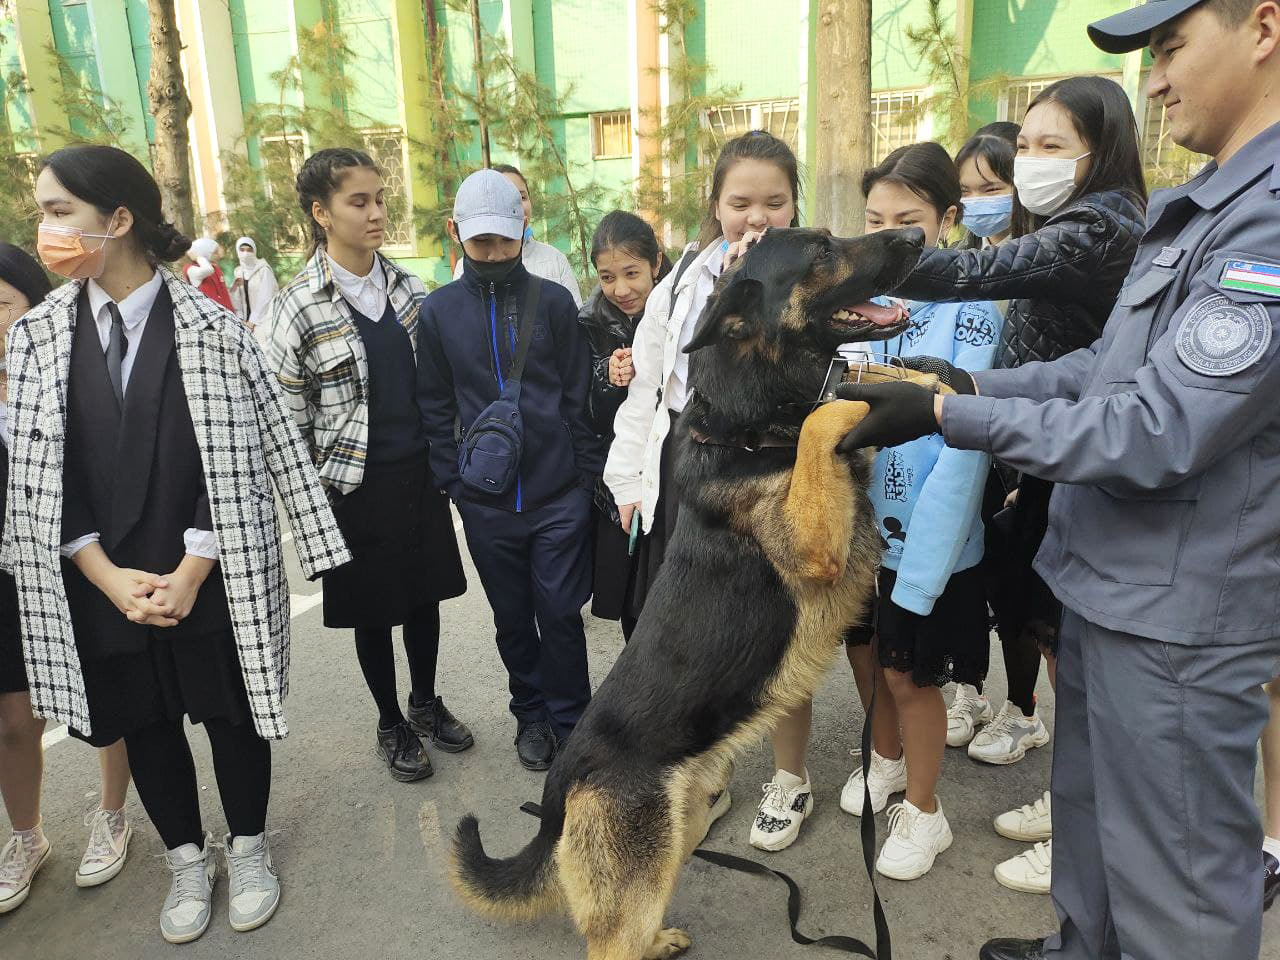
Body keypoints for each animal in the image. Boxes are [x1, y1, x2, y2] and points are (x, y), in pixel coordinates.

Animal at [451, 226, 933, 960]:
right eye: (822, 248)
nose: (917, 235)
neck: (747, 429)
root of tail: (559, 793)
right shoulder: (813, 541)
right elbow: (824, 417)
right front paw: (873, 396)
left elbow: (845, 400)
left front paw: (916, 381)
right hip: (642, 869)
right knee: (610, 943)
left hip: (675, 840)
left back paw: (663, 942)